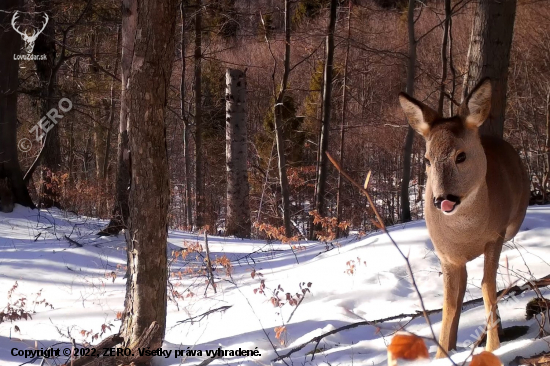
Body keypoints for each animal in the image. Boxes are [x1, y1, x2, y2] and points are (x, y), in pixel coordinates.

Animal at [398, 78, 532, 358]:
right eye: (427, 159)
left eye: (460, 155)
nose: (441, 199)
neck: (466, 234)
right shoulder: (446, 255)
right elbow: (449, 302)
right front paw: (440, 355)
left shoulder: (495, 236)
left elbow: (487, 286)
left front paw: (493, 347)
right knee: (461, 290)